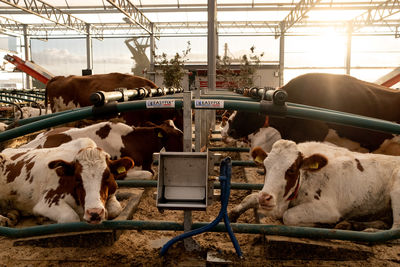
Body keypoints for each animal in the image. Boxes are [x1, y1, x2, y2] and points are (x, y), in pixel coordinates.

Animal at [0, 138, 134, 226]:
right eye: (77, 178)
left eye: (107, 175)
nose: (94, 213)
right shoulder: (47, 202)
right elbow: (71, 217)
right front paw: (44, 218)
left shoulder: (111, 192)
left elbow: (115, 209)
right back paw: (4, 219)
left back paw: (12, 214)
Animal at [230, 140, 400, 230]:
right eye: (265, 167)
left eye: (291, 170)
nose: (265, 198)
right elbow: (249, 198)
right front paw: (232, 214)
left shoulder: (328, 210)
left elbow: (288, 216)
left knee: (395, 229)